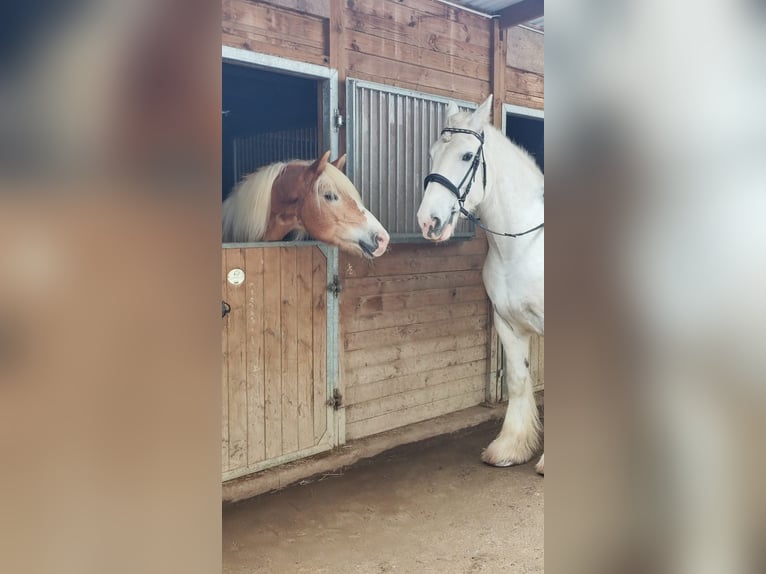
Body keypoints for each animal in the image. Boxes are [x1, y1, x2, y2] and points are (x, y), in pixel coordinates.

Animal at [420, 97, 544, 474]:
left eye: (465, 156)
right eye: (432, 154)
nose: (428, 221)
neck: (522, 245)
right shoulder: (507, 322)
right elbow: (518, 380)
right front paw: (510, 448)